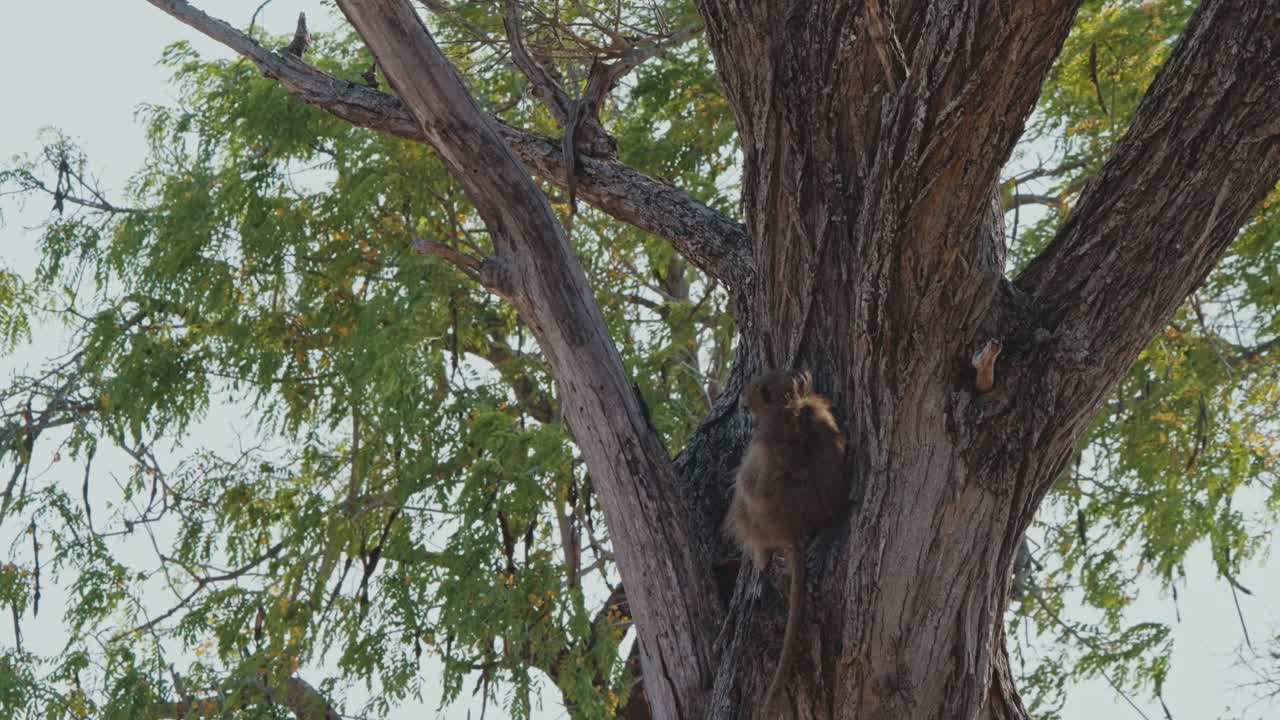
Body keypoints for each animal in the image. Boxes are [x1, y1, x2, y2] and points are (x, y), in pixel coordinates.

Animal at [724, 370, 847, 718]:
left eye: (762, 390)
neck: (790, 410)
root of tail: (794, 529)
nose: (743, 396)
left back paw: (757, 559)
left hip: (749, 509)